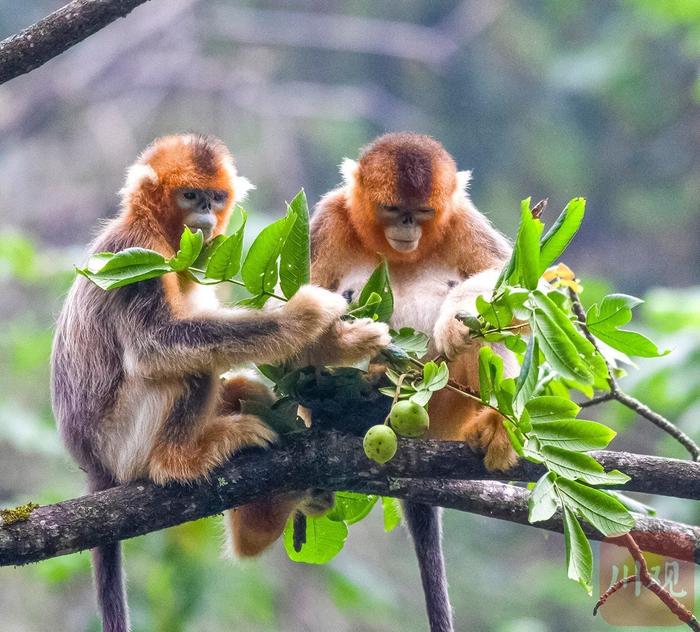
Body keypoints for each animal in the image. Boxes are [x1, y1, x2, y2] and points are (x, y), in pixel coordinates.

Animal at [50, 135, 388, 632]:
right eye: (190, 195)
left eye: (215, 197)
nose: (206, 215)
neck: (157, 228)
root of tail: (93, 464)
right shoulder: (136, 255)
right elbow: (156, 344)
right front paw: (307, 318)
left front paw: (336, 343)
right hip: (122, 441)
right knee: (187, 368)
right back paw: (178, 461)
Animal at [310, 131, 520, 628]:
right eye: (392, 209)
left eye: (422, 212)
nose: (407, 226)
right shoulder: (328, 218)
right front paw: (345, 342)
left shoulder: (462, 219)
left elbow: (520, 290)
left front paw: (453, 323)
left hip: (446, 410)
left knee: (489, 333)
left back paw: (495, 423)